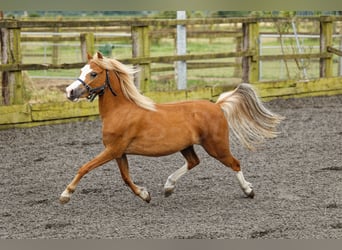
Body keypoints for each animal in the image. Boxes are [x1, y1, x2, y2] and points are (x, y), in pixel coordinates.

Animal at [60, 51, 284, 204]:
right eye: (81, 71)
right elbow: (125, 178)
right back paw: (168, 187)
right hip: (187, 146)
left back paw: (248, 190)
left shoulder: (113, 150)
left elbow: (85, 167)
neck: (121, 111)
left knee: (235, 163)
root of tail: (217, 106)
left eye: (93, 73)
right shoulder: (119, 152)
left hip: (216, 146)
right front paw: (145, 195)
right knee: (194, 162)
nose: (69, 92)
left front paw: (65, 195)